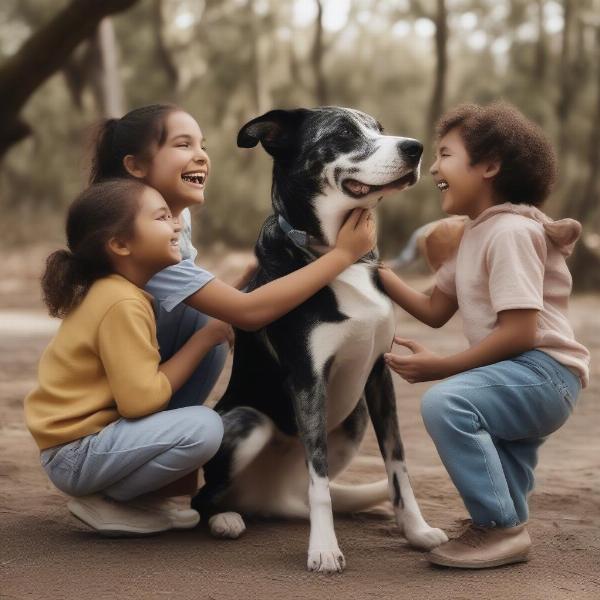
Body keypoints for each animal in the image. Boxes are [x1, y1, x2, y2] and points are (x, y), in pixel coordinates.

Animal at [191, 106, 446, 572]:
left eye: (380, 129)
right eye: (343, 133)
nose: (416, 147)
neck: (337, 256)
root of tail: (268, 496)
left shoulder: (378, 374)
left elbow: (397, 463)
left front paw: (416, 530)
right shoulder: (308, 379)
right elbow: (320, 477)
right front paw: (324, 549)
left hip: (355, 414)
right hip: (247, 420)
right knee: (204, 498)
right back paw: (225, 519)